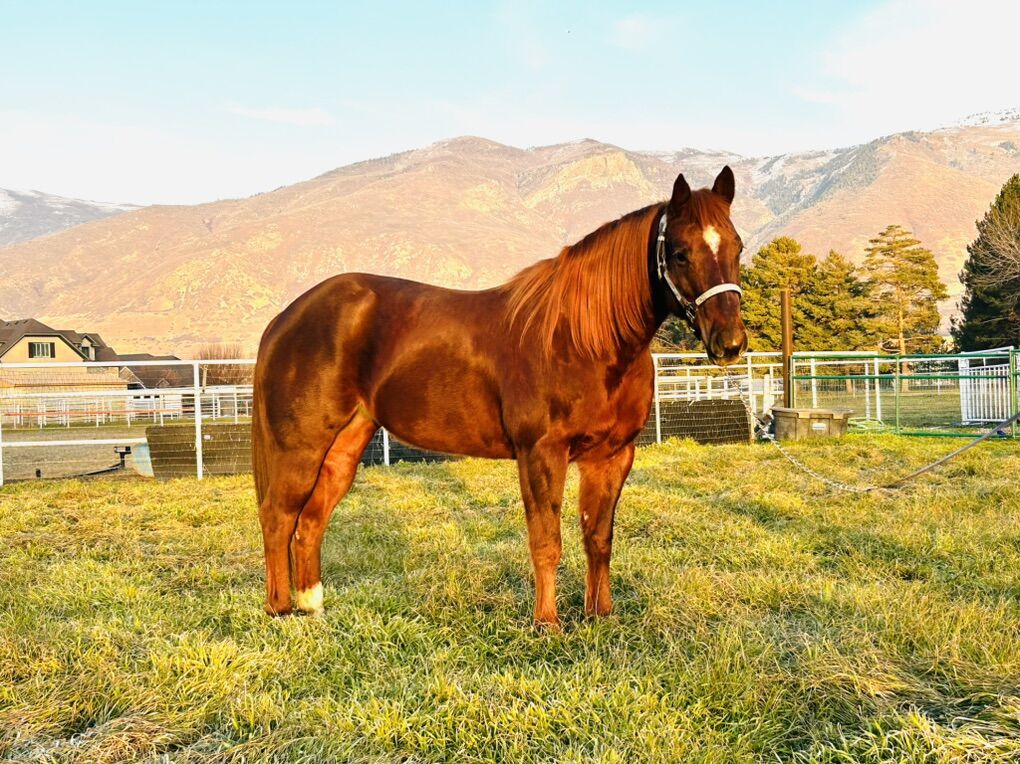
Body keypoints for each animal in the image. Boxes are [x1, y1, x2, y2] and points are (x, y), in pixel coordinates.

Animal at [252, 167, 747, 627]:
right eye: (680, 253)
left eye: (737, 247)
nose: (730, 343)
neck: (582, 340)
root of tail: (286, 317)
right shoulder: (540, 453)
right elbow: (546, 540)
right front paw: (547, 624)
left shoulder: (612, 456)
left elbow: (598, 538)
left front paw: (599, 615)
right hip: (300, 448)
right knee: (278, 516)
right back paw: (279, 609)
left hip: (344, 447)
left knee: (310, 521)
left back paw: (313, 606)